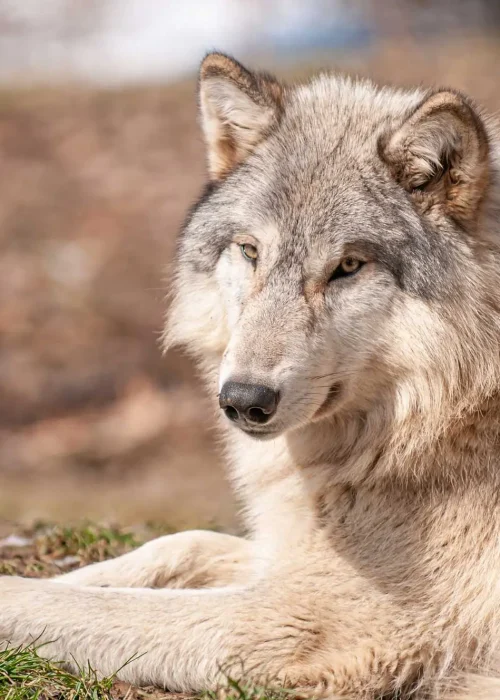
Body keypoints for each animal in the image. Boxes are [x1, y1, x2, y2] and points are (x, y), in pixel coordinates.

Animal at [2, 52, 500, 699]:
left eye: (348, 267)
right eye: (250, 252)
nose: (242, 399)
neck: (437, 417)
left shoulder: (297, 622)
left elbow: (68, 604)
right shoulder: (284, 559)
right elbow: (178, 543)